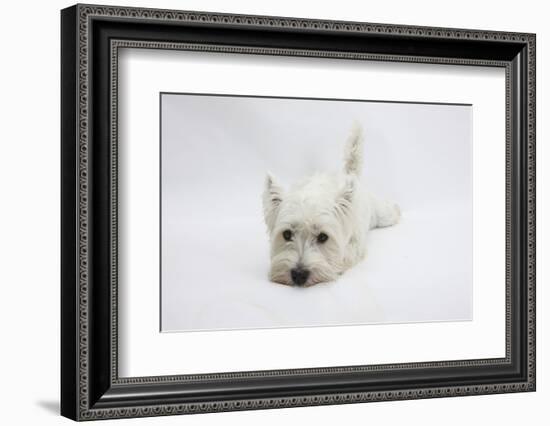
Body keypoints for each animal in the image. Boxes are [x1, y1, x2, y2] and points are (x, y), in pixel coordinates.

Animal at [264, 125, 402, 288]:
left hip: (380, 214)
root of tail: (350, 174)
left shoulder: (354, 244)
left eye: (323, 237)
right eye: (286, 234)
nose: (299, 275)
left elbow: (346, 255)